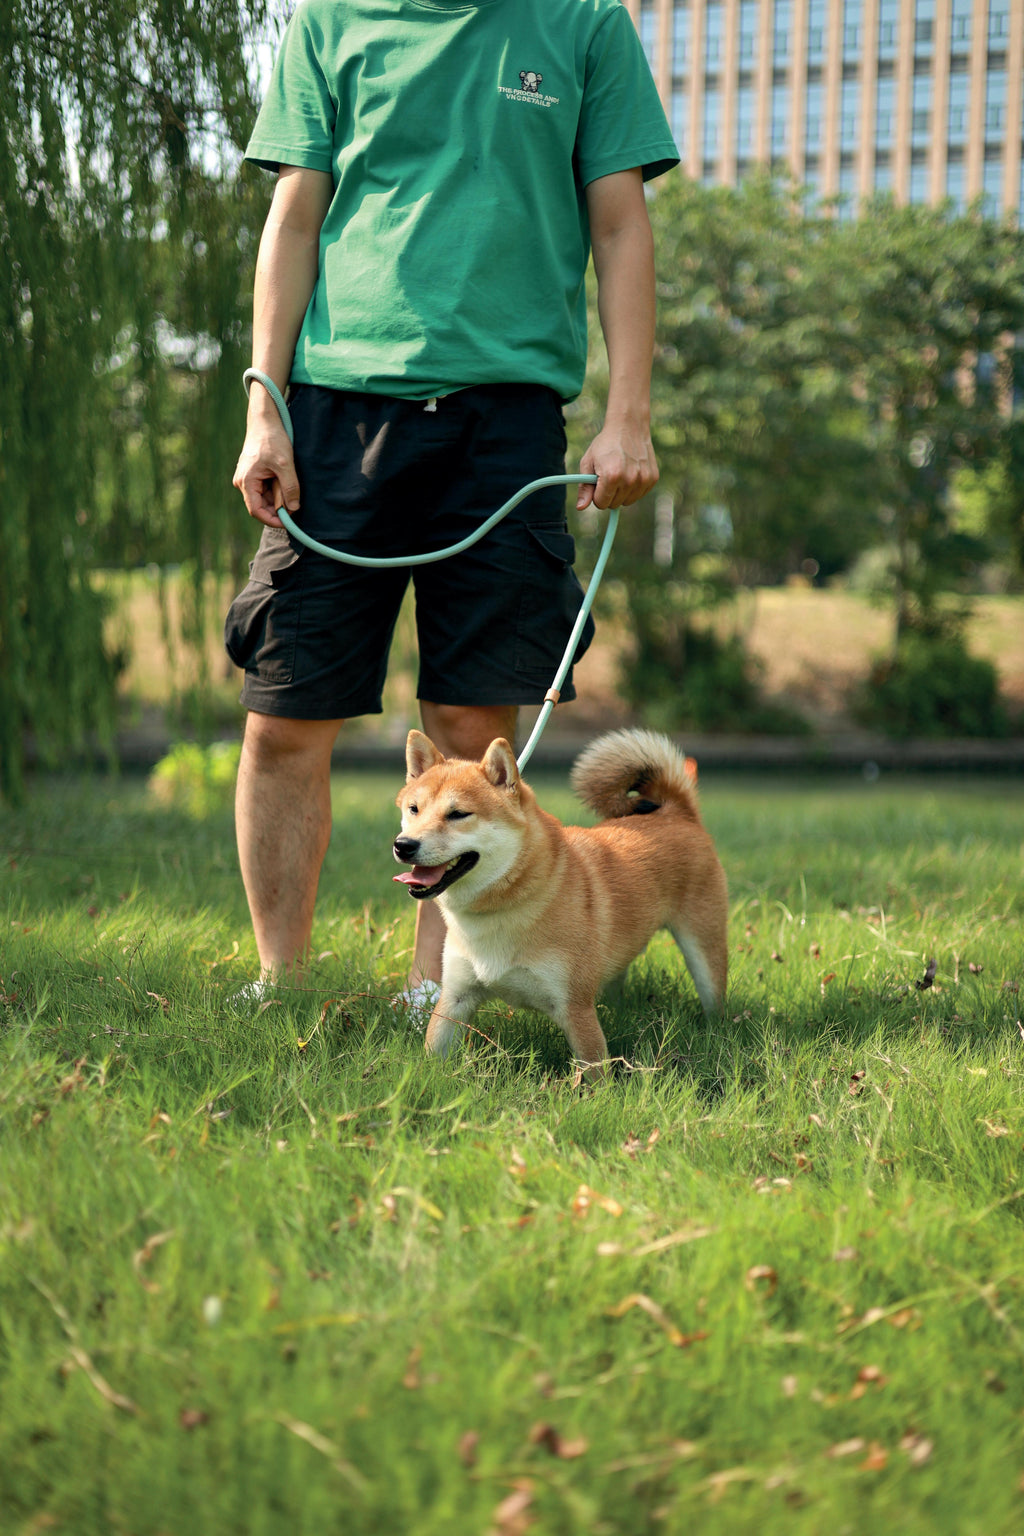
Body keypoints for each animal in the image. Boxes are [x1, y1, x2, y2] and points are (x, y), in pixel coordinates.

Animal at [393, 731, 727, 1081]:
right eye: (414, 809)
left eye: (458, 814)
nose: (403, 845)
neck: (501, 912)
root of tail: (676, 811)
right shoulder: (455, 998)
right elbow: (434, 1055)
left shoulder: (575, 1008)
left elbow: (595, 1075)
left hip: (704, 955)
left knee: (713, 999)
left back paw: (715, 1035)